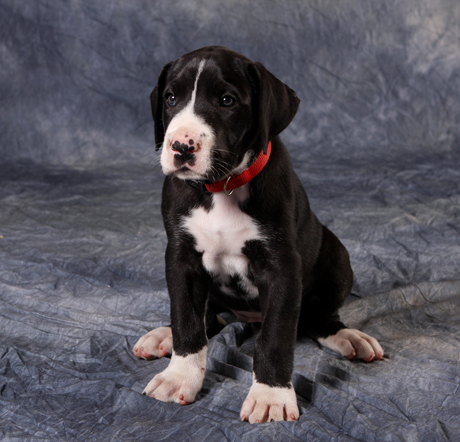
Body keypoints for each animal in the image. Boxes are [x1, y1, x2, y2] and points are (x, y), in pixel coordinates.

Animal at [134, 45, 384, 424]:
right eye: (171, 98)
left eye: (227, 100)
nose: (181, 146)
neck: (221, 187)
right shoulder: (181, 259)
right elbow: (186, 319)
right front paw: (179, 376)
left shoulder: (281, 267)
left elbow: (276, 336)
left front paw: (271, 395)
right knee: (209, 318)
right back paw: (164, 336)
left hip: (337, 257)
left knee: (318, 318)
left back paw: (348, 337)